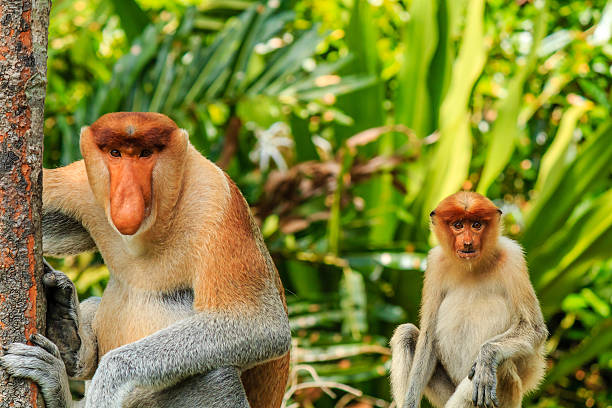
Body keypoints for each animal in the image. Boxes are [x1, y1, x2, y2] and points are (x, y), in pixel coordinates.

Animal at [0, 112, 292, 408]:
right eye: (115, 153)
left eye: (145, 154)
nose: (127, 197)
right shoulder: (82, 182)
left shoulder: (214, 200)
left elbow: (263, 324)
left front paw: (109, 378)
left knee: (218, 376)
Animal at [390, 193, 548, 408]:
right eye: (458, 225)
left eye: (476, 225)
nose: (467, 242)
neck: (472, 267)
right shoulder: (435, 263)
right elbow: (428, 339)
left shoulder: (512, 258)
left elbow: (534, 328)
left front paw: (487, 357)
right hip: (446, 394)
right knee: (405, 333)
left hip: (510, 399)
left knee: (502, 364)